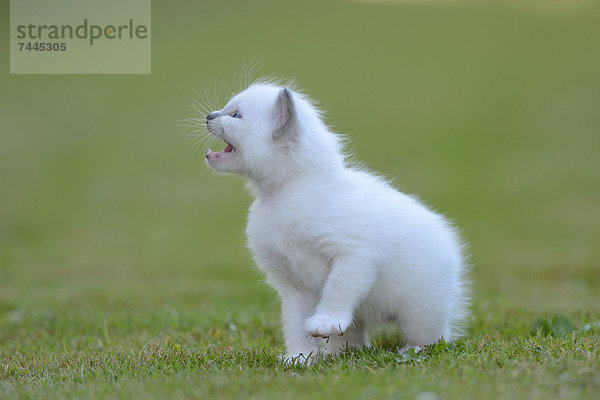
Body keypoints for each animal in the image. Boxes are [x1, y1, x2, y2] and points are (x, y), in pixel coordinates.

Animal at [204, 80, 472, 362]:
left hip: (422, 308)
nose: (209, 116)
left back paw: (413, 350)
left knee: (433, 335)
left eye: (236, 115)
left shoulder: (354, 255)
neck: (288, 192)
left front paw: (326, 322)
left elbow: (337, 289)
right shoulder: (293, 284)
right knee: (355, 332)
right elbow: (295, 323)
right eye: (226, 109)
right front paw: (301, 358)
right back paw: (342, 352)